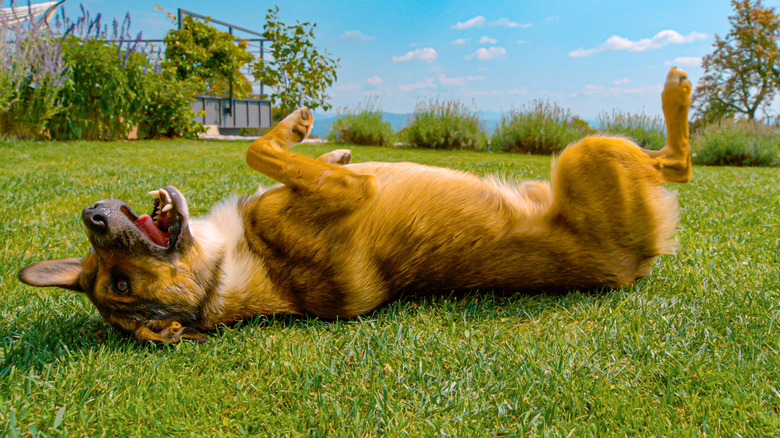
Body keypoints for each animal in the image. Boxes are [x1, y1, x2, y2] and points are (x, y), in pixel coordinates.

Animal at [16, 67, 696, 342]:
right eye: (123, 288)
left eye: (106, 273)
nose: (93, 216)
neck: (227, 267)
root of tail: (637, 262)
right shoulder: (342, 194)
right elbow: (259, 150)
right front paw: (298, 129)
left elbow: (279, 161)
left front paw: (334, 149)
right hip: (587, 155)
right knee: (677, 163)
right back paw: (678, 92)